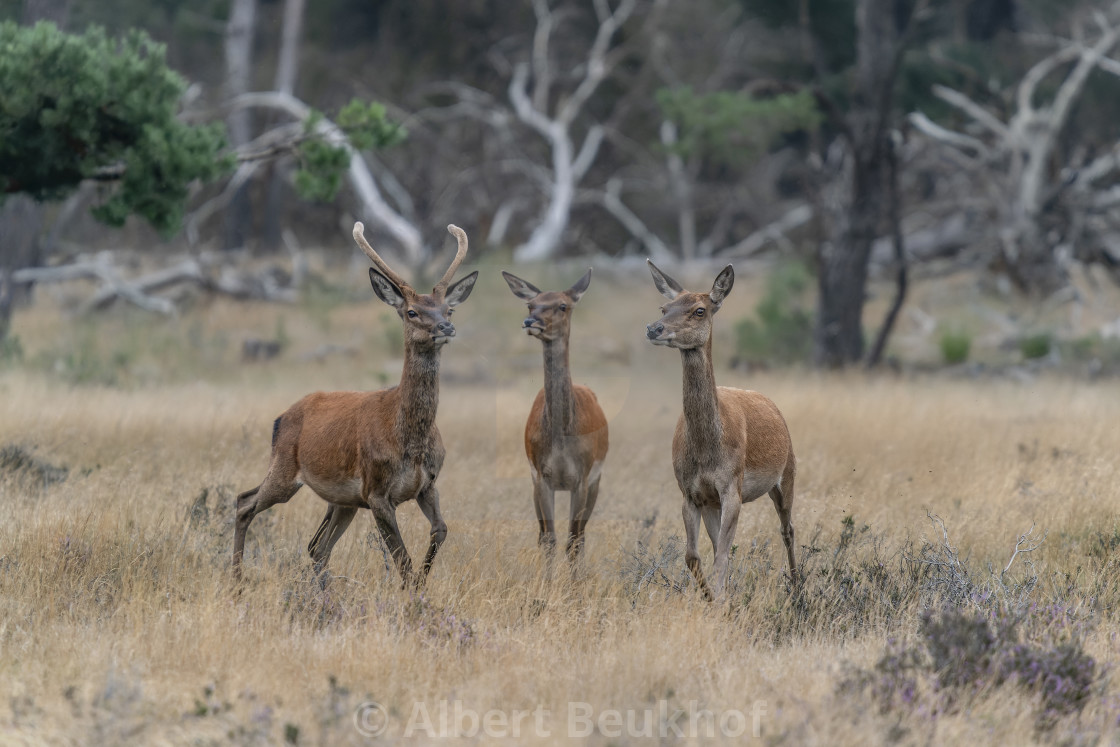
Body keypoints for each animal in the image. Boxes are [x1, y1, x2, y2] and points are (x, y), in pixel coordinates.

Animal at [234, 225, 479, 586]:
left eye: (449, 309)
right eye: (412, 311)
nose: (446, 327)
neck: (409, 440)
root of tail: (280, 418)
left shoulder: (428, 484)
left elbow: (440, 531)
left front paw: (424, 584)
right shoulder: (376, 491)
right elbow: (402, 560)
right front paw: (415, 595)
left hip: (343, 501)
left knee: (317, 547)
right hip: (284, 468)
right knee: (244, 503)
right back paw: (237, 581)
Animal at [504, 269, 609, 559]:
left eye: (563, 305)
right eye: (531, 304)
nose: (531, 321)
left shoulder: (582, 477)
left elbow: (573, 541)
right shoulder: (542, 476)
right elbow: (550, 538)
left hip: (596, 481)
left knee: (581, 537)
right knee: (543, 536)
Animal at [645, 259, 801, 600]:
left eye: (699, 310)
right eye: (664, 307)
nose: (653, 328)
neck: (707, 452)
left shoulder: (732, 486)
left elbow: (721, 554)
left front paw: (718, 599)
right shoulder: (692, 493)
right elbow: (694, 554)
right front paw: (714, 598)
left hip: (788, 474)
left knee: (788, 529)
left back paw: (798, 589)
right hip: (715, 502)